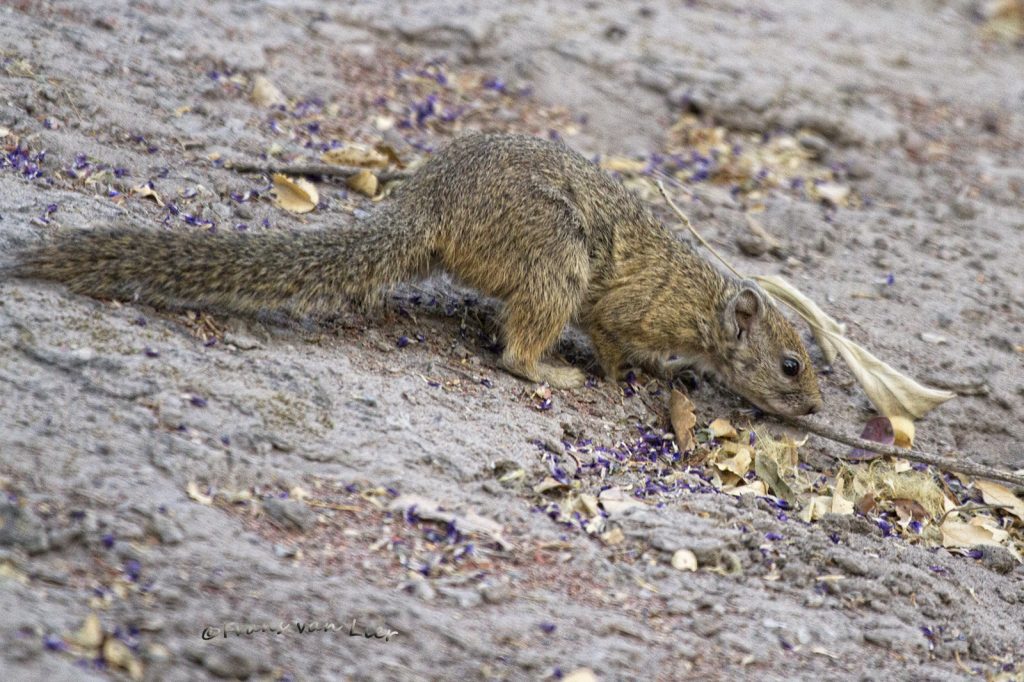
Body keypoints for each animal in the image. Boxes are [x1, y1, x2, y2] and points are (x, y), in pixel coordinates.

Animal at [8, 132, 822, 416]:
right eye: (791, 364)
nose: (815, 407)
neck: (703, 301)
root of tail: (426, 206)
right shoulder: (628, 308)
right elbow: (614, 338)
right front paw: (633, 374)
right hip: (556, 259)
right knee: (517, 348)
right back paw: (551, 372)